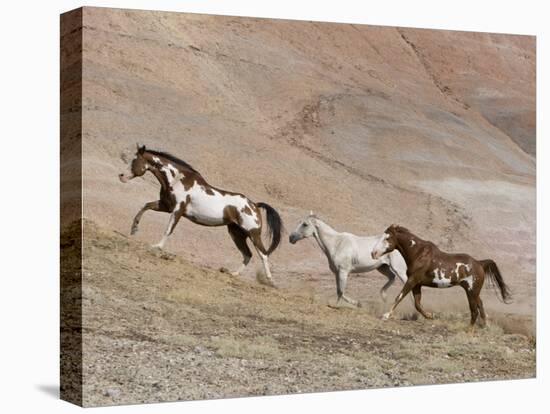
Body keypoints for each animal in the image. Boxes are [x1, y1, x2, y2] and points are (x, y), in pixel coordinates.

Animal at [121, 145, 284, 284]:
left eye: (134, 161)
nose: (121, 175)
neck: (177, 180)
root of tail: (255, 205)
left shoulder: (177, 210)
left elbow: (168, 230)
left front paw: (157, 246)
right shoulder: (165, 206)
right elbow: (145, 206)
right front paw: (134, 229)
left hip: (253, 233)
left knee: (263, 254)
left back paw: (269, 280)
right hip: (236, 233)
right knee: (247, 254)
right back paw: (234, 274)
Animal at [370, 223, 512, 330]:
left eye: (387, 238)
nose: (373, 253)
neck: (418, 254)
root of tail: (480, 263)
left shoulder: (412, 280)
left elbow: (399, 296)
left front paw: (386, 315)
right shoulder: (417, 284)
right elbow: (417, 304)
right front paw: (429, 316)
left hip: (471, 291)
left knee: (474, 310)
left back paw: (469, 330)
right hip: (473, 291)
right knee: (480, 305)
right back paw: (485, 325)